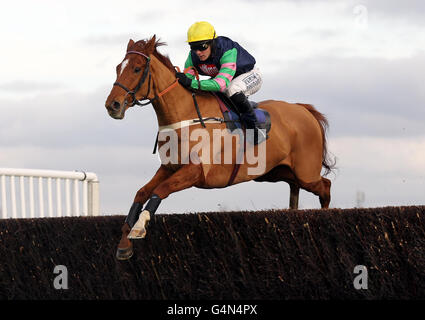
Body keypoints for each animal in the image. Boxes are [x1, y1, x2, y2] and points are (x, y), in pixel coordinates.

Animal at [104, 35, 332, 260]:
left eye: (136, 68)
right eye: (117, 68)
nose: (112, 105)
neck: (185, 116)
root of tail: (303, 109)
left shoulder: (196, 171)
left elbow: (161, 190)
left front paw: (139, 227)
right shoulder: (169, 168)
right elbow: (141, 193)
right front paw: (124, 242)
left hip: (306, 173)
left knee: (325, 186)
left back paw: (325, 219)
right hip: (276, 172)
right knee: (303, 186)